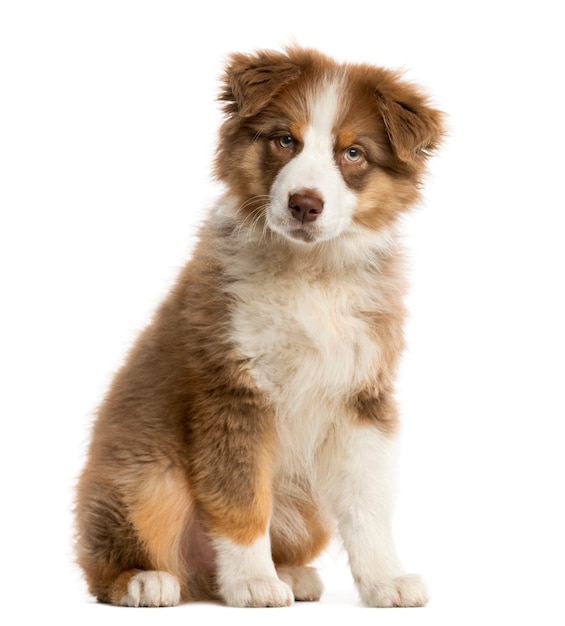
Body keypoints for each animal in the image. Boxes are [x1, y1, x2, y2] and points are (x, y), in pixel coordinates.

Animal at [76, 46, 446, 608]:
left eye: (353, 153)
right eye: (285, 140)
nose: (304, 204)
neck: (311, 274)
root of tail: (199, 579)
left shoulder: (363, 396)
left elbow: (369, 503)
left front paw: (386, 580)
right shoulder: (233, 391)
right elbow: (241, 495)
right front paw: (252, 582)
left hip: (306, 504)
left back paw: (291, 574)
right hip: (147, 478)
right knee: (108, 560)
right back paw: (145, 580)